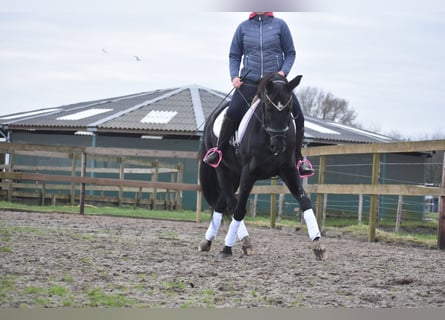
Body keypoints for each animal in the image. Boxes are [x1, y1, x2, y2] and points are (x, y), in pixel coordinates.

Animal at [198, 72, 326, 260]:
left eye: (289, 110)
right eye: (269, 108)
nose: (278, 146)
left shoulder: (288, 170)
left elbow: (305, 201)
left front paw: (318, 245)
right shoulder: (249, 172)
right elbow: (239, 209)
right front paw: (227, 249)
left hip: (235, 175)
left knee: (221, 203)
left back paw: (207, 242)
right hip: (224, 170)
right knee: (231, 203)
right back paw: (243, 241)